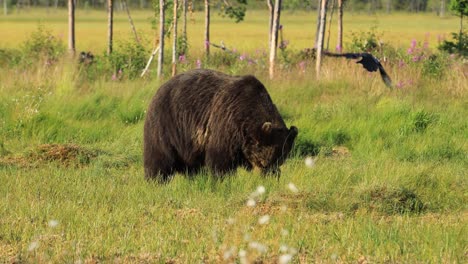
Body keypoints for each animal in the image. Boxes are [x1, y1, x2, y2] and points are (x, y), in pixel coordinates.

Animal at [144, 69, 296, 183]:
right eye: (263, 161)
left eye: (280, 158)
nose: (269, 173)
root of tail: (159, 89)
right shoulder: (226, 122)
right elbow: (220, 159)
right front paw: (223, 180)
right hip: (168, 125)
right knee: (159, 158)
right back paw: (155, 180)